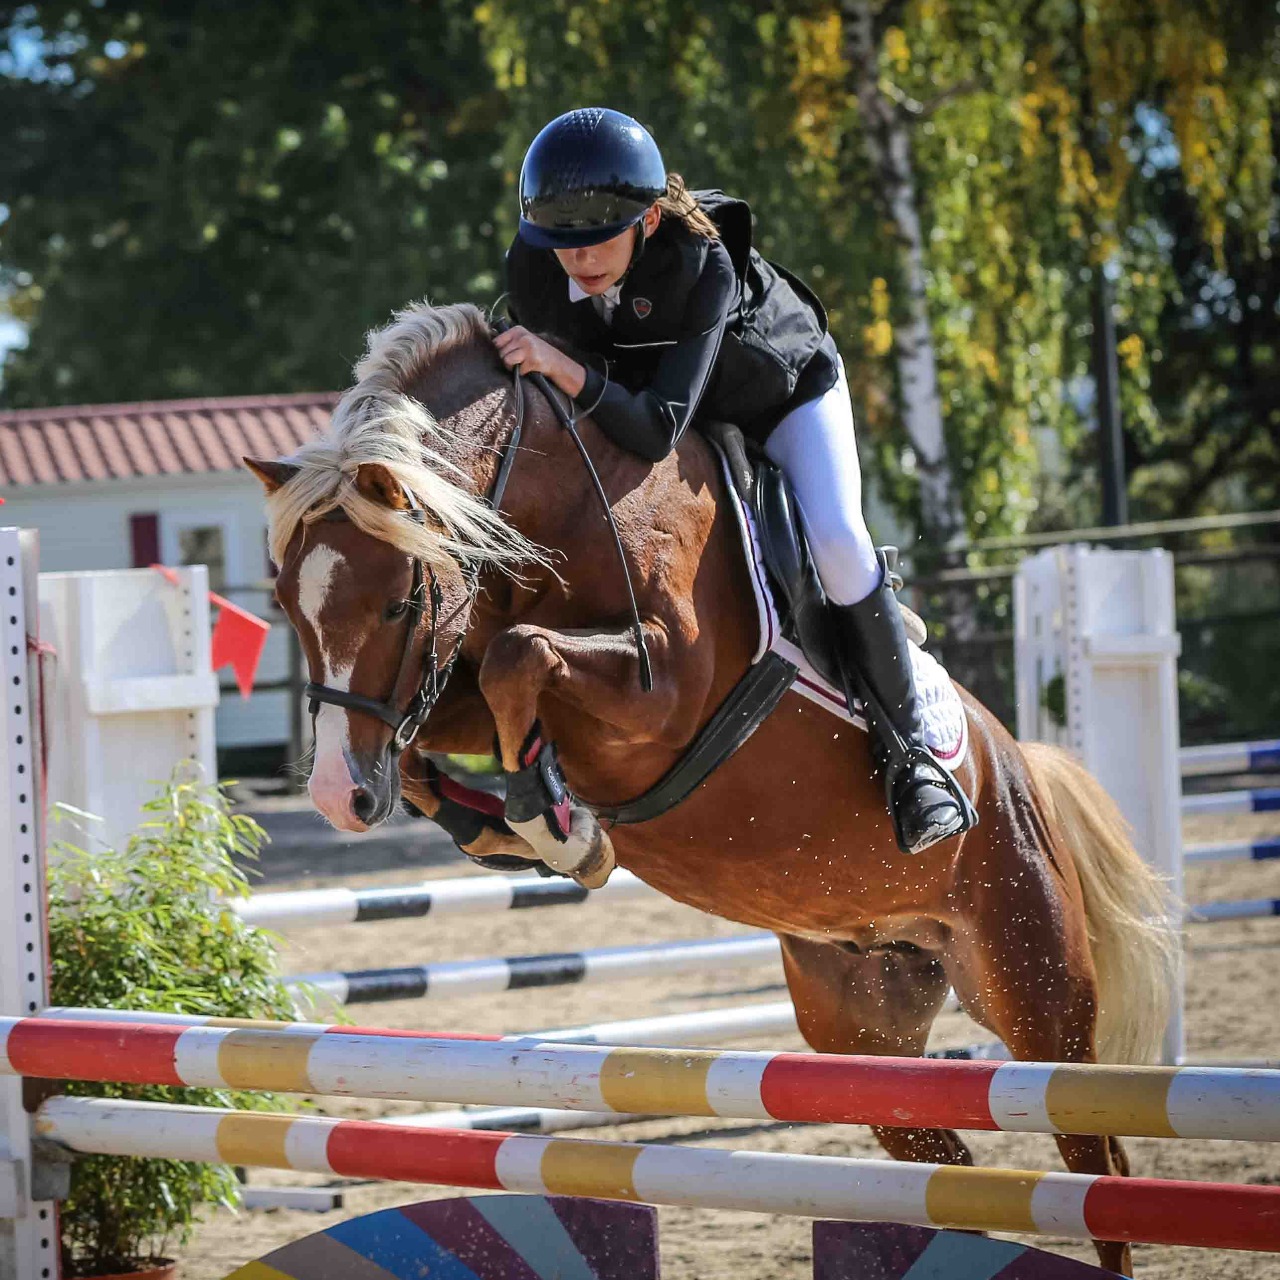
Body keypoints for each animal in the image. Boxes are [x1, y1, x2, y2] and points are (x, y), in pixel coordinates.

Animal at [247, 296, 1177, 1269]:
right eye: (288, 609)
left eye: (395, 602)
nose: (338, 797)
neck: (571, 501)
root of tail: (1019, 767)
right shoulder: (456, 678)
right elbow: (450, 717)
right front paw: (506, 823)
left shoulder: (663, 698)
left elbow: (519, 659)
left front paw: (560, 826)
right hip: (862, 1031)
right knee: (946, 1167)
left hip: (1037, 993)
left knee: (1095, 1165)